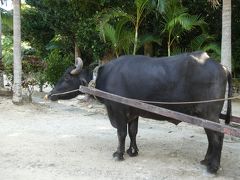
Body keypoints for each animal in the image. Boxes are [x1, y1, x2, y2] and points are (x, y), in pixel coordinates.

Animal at [46, 51, 232, 173]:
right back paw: (206, 160)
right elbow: (133, 132)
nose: (50, 94)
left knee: (218, 136)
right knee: (211, 136)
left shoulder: (118, 110)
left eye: (67, 77)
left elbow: (121, 133)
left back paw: (213, 167)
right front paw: (132, 151)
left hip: (210, 114)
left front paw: (119, 154)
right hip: (205, 116)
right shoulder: (134, 112)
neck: (105, 77)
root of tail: (222, 67)